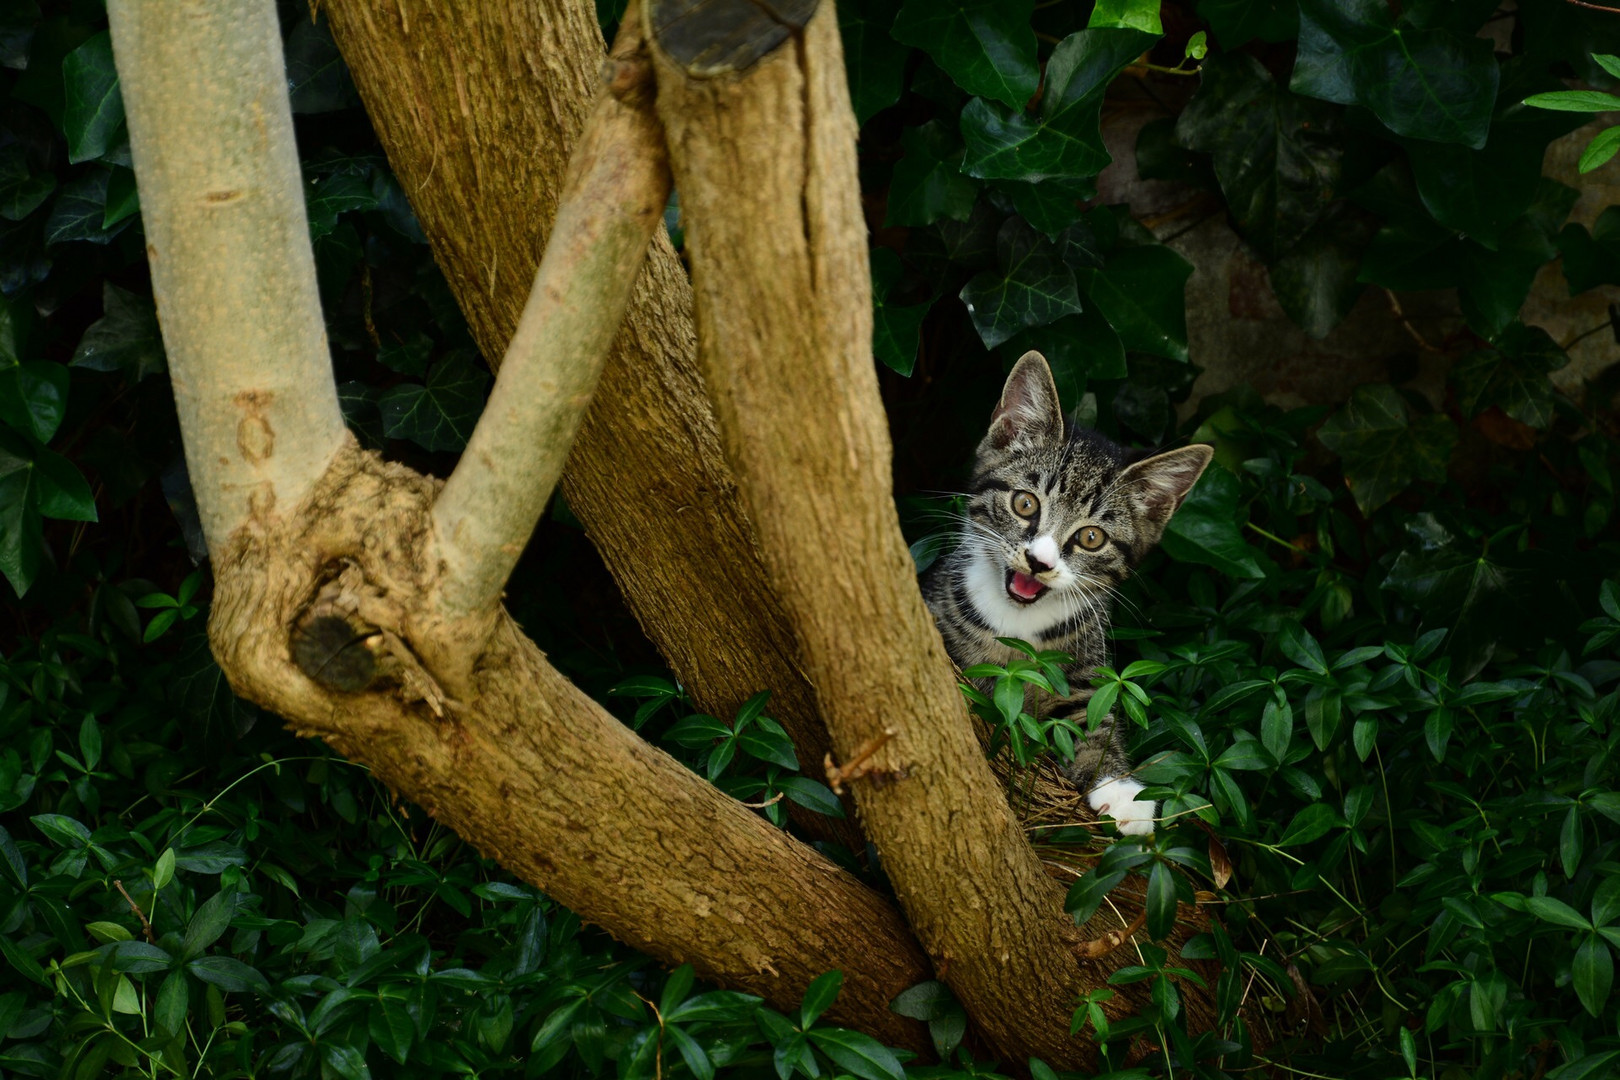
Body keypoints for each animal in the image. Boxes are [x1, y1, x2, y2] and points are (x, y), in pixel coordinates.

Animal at [926, 351, 1218, 835]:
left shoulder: (1084, 673)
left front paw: (1122, 792)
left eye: (1091, 538)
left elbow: (1091, 722)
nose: (1039, 562)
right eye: (1025, 503)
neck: (1017, 622)